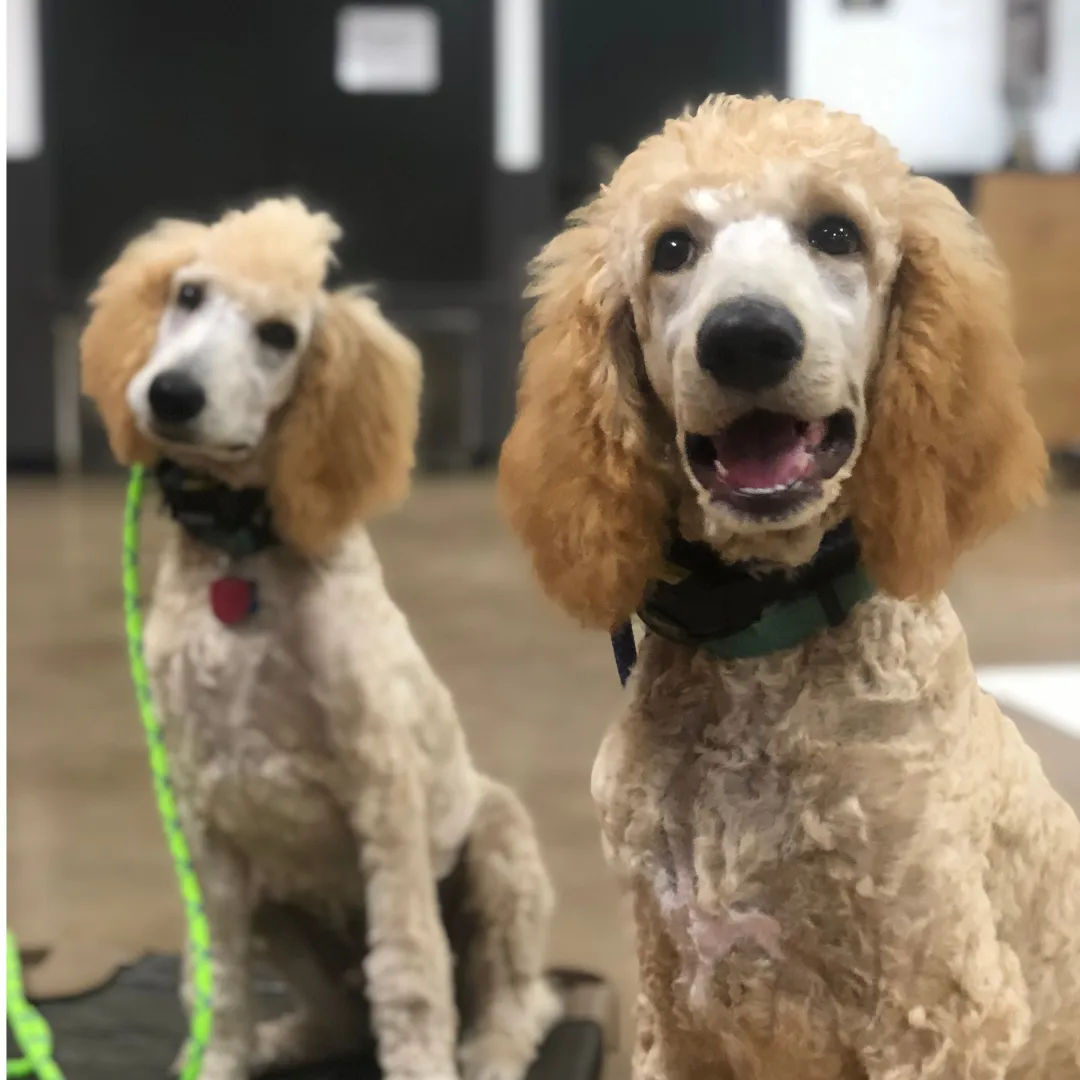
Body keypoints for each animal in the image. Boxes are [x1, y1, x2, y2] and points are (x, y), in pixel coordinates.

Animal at [81, 197, 561, 1080]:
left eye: (279, 334)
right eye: (188, 294)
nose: (171, 394)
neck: (242, 552)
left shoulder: (385, 798)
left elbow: (409, 971)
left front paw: (423, 1067)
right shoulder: (206, 822)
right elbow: (219, 978)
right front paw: (220, 1060)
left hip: (498, 845)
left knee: (515, 997)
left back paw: (488, 1051)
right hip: (279, 906)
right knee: (337, 1014)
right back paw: (289, 1037)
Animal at [498, 95, 1080, 1079]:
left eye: (837, 232)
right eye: (672, 248)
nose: (746, 339)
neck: (760, 646)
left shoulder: (943, 1010)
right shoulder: (673, 1012)